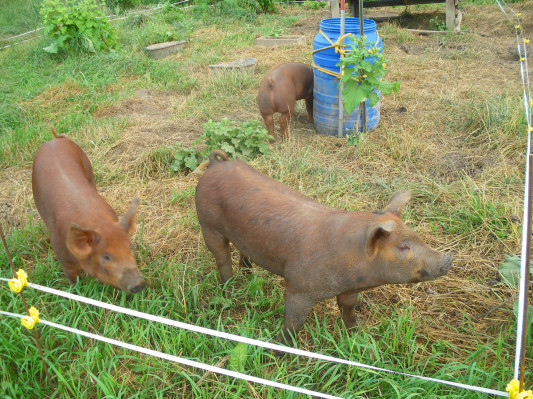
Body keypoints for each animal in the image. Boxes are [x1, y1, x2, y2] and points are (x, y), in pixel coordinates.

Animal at [33, 131, 145, 294]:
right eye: (106, 257)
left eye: (129, 247)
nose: (139, 283)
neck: (96, 222)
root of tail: (55, 140)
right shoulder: (64, 259)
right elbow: (73, 280)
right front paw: (76, 291)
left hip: (88, 167)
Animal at [195, 152, 454, 346]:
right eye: (403, 247)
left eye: (417, 237)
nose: (448, 259)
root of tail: (217, 164)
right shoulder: (299, 286)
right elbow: (294, 320)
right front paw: (280, 348)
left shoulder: (350, 289)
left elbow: (348, 307)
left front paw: (355, 332)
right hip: (207, 223)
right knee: (222, 259)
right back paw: (229, 291)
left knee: (243, 253)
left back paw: (248, 275)